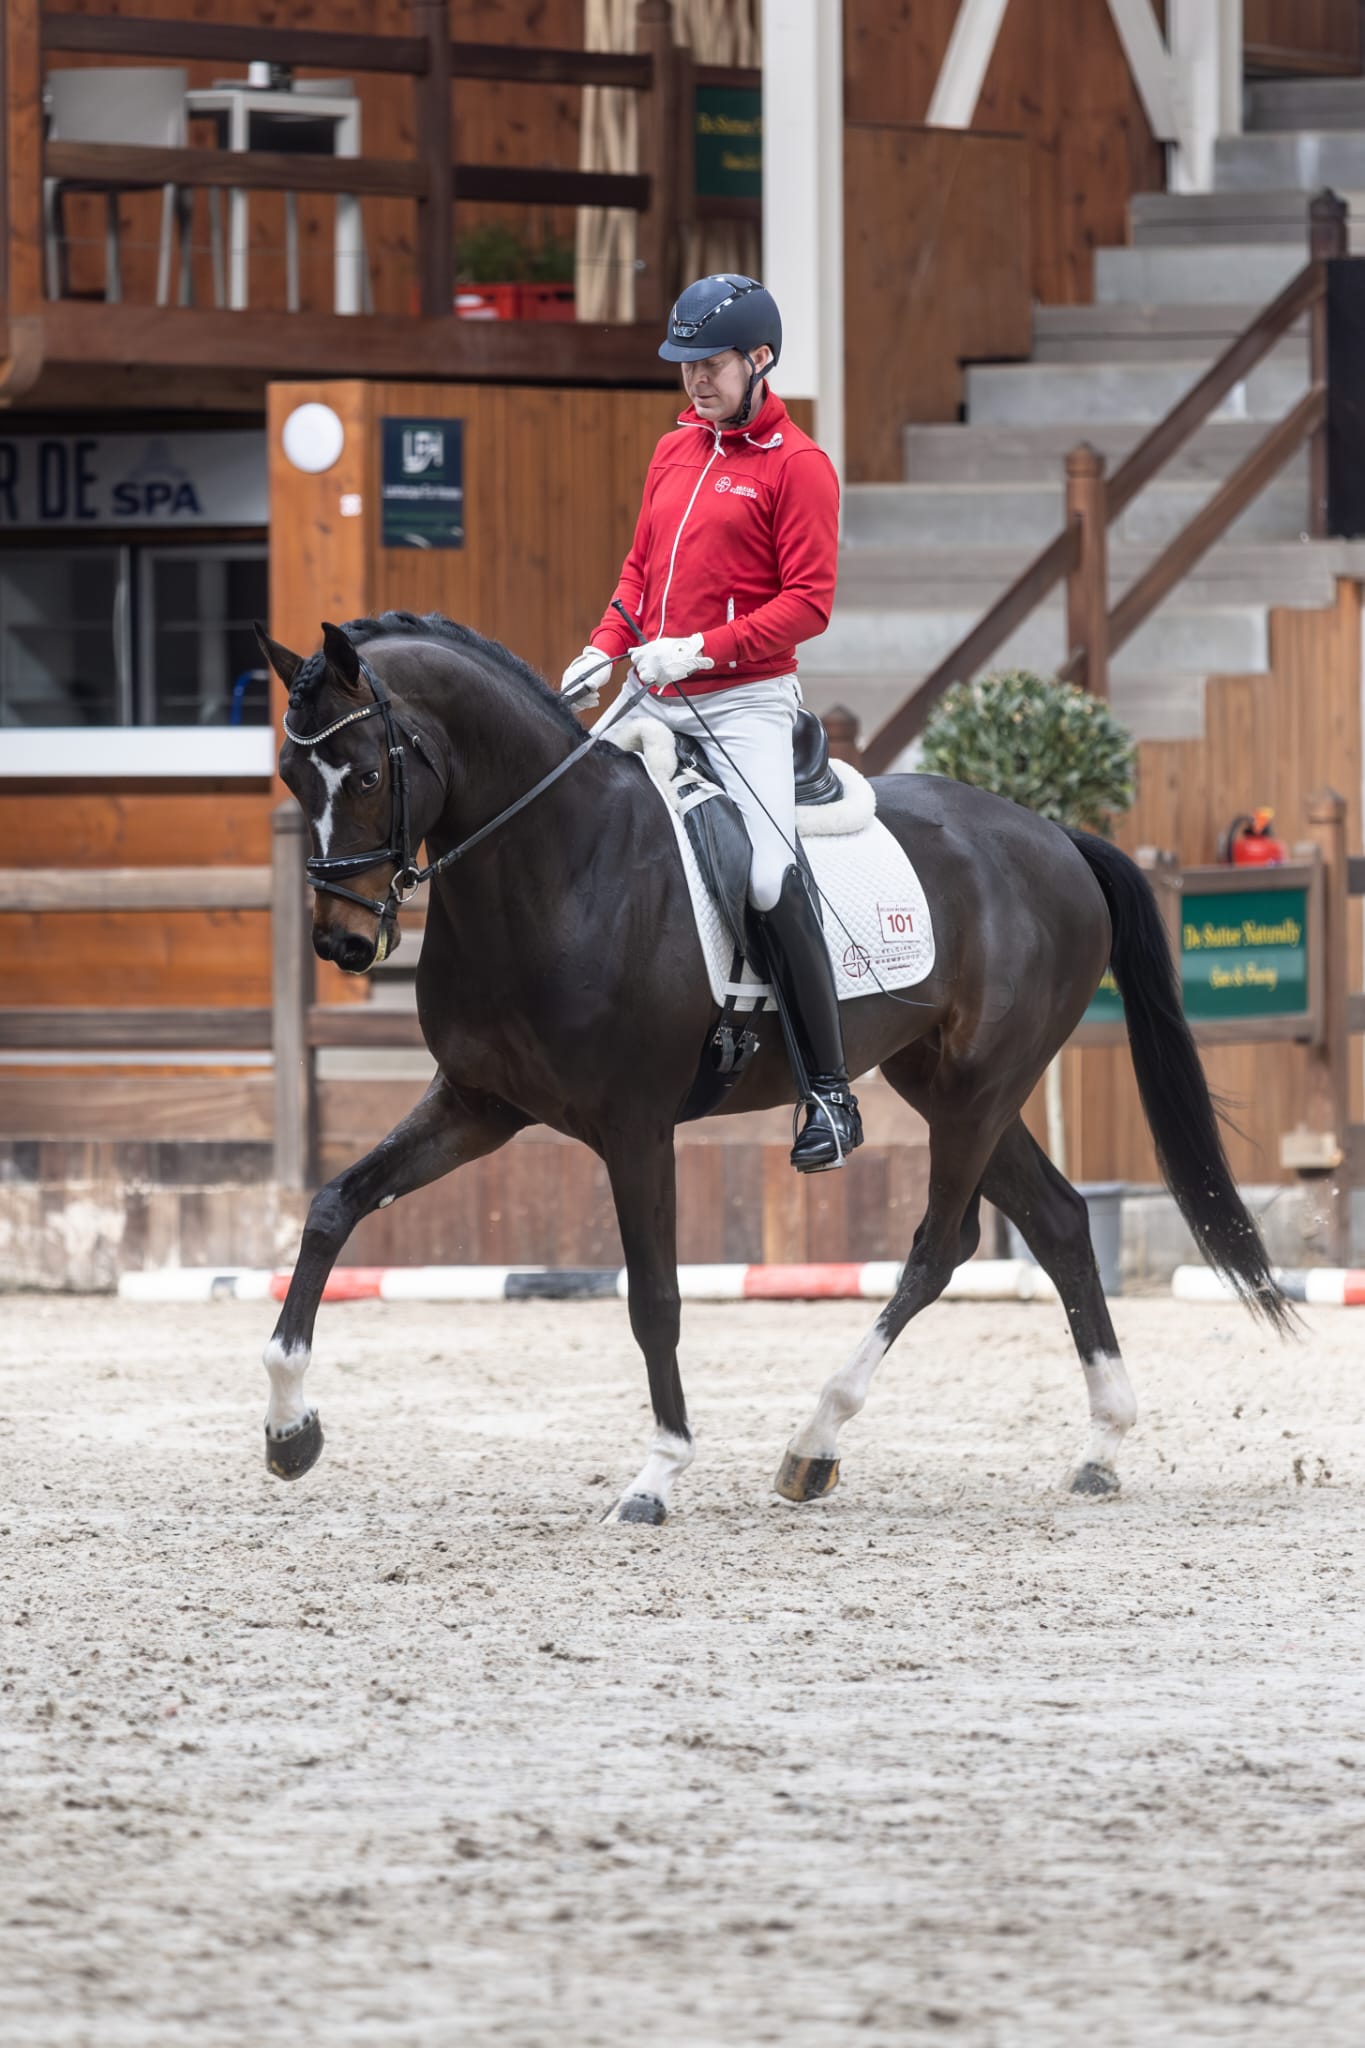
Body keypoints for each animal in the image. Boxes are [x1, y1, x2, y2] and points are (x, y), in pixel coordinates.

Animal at [254, 610, 1289, 1525]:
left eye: (369, 772)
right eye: (292, 776)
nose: (342, 943)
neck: (557, 867)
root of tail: (1052, 835)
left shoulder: (633, 1127)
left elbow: (655, 1297)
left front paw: (657, 1475)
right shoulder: (475, 1104)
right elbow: (334, 1206)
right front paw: (289, 1428)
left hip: (979, 1088)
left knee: (938, 1247)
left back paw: (815, 1439)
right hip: (943, 1083)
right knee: (1061, 1222)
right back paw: (1100, 1445)